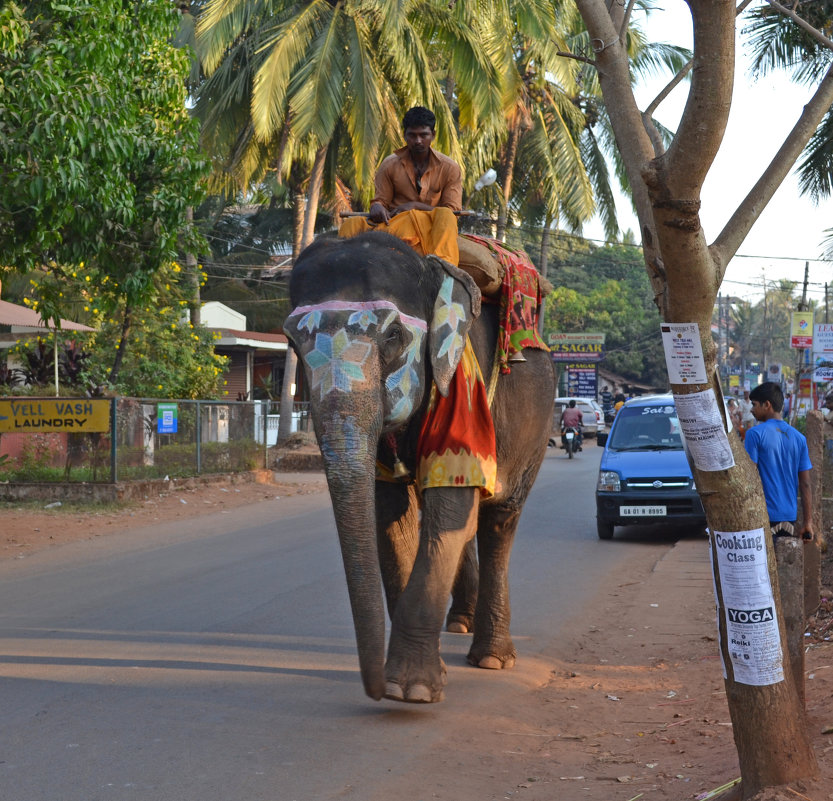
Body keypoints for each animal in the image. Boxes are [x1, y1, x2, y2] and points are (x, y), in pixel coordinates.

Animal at [282, 230, 556, 700]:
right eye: (292, 343)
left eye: (393, 335)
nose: (372, 688)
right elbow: (394, 516)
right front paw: (408, 682)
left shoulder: (463, 388)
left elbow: (451, 498)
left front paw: (409, 689)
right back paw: (460, 622)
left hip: (536, 427)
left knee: (498, 519)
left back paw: (492, 657)